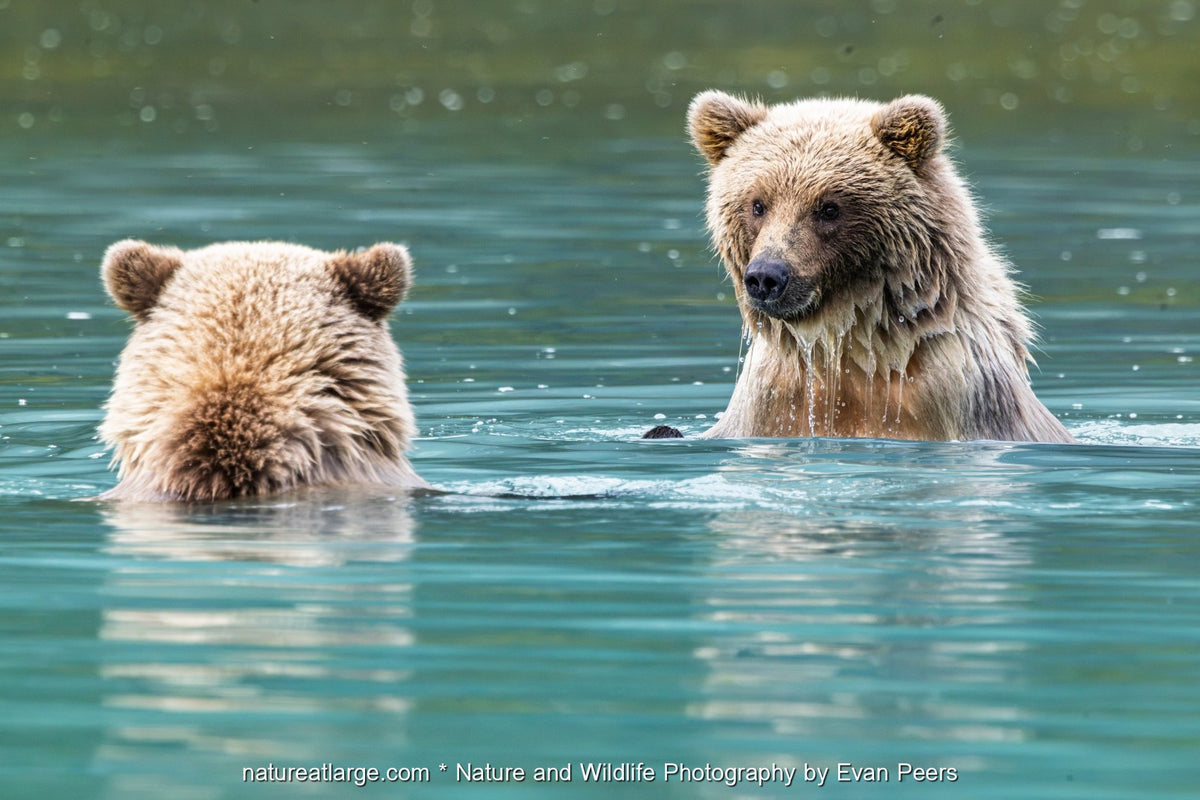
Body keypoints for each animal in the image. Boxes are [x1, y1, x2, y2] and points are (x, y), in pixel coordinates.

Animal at [650, 91, 1073, 443]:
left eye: (828, 208)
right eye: (757, 204)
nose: (767, 277)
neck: (845, 355)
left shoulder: (948, 396)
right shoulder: (770, 401)